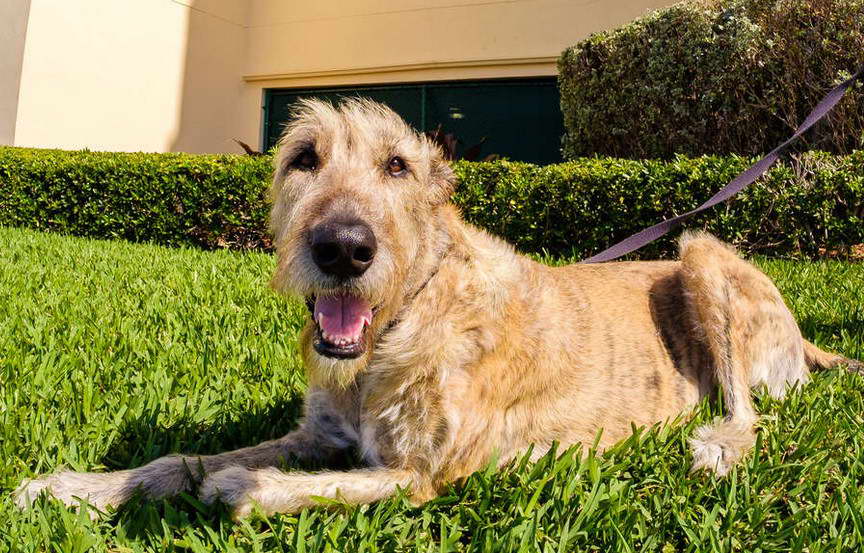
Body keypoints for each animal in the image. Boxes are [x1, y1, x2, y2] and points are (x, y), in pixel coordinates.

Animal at [15, 98, 864, 516]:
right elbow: (181, 458)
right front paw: (77, 486)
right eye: (303, 158)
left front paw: (247, 489)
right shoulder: (319, 431)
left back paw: (717, 443)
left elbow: (313, 483)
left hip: (703, 256)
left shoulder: (429, 472)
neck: (406, 318)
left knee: (753, 412)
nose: (343, 248)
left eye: (397, 165)